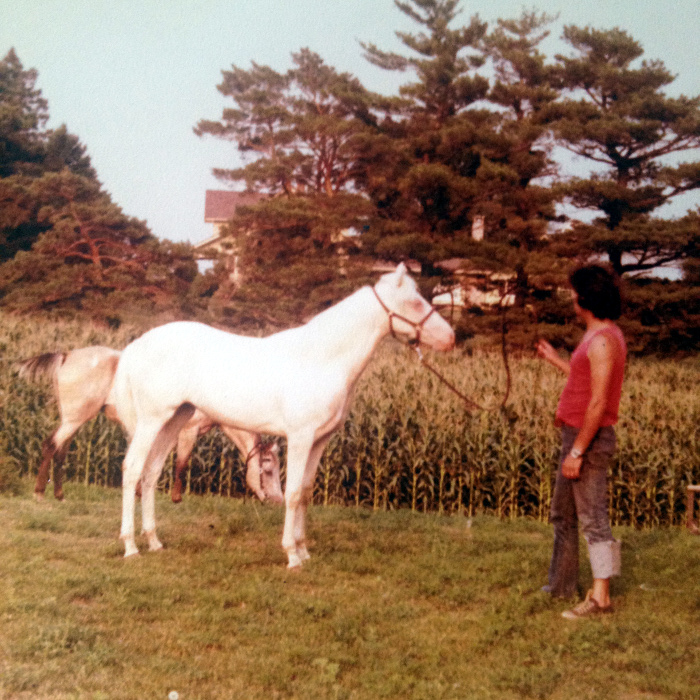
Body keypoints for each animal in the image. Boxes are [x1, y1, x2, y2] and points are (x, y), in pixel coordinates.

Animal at [17, 347, 283, 504]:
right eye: (268, 468)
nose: (277, 500)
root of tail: (67, 356)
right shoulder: (188, 432)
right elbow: (181, 463)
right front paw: (176, 498)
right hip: (73, 419)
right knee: (50, 445)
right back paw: (39, 492)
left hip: (73, 420)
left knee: (60, 451)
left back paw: (59, 495)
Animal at [112, 263, 455, 567]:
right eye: (415, 302)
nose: (450, 338)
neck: (321, 359)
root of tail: (137, 344)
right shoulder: (300, 437)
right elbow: (292, 493)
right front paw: (291, 555)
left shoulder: (319, 440)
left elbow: (304, 492)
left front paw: (304, 551)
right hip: (151, 421)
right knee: (132, 469)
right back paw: (130, 547)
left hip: (174, 420)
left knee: (151, 472)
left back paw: (154, 542)